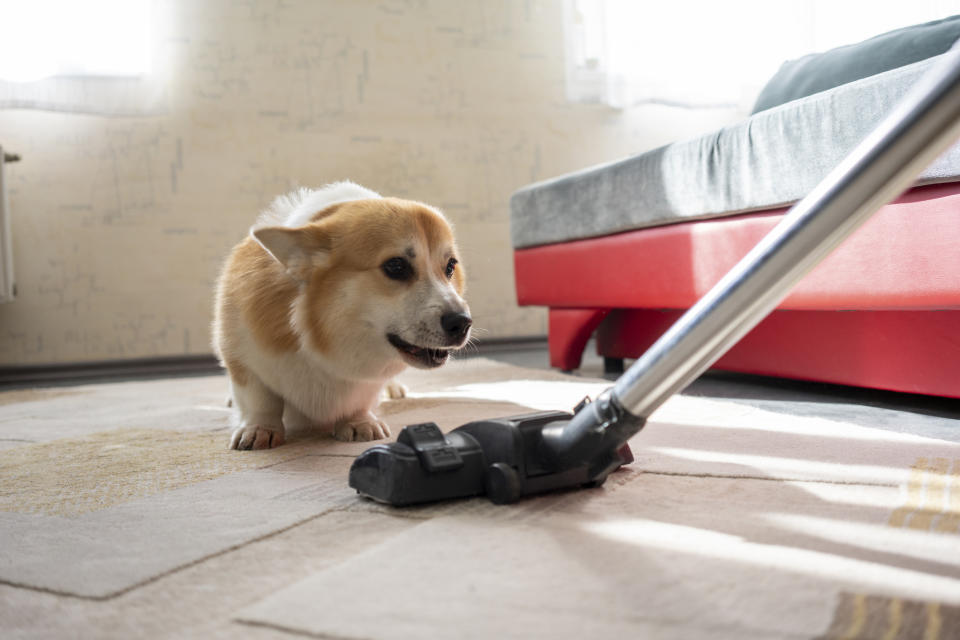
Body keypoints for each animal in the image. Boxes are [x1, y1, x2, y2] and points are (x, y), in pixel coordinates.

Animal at [216, 180, 474, 450]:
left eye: (450, 267)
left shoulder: (368, 379)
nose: (463, 323)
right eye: (396, 266)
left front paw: (358, 422)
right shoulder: (242, 357)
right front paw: (259, 429)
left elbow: (361, 399)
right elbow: (261, 399)